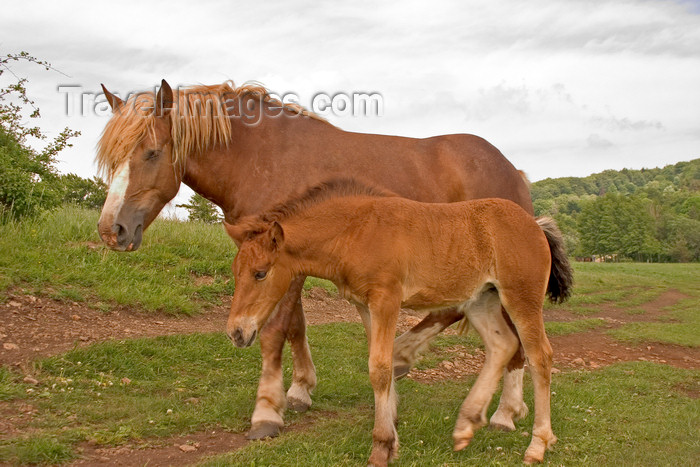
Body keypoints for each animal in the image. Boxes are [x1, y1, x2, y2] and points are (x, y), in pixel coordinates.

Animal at [97, 80, 536, 442]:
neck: (259, 160)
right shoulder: (286, 263)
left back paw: (504, 412)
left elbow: (274, 331)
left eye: (152, 153)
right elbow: (295, 325)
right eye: (113, 158)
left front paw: (266, 413)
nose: (111, 229)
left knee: (515, 338)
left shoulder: (283, 263)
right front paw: (299, 391)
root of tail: (513, 170)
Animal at [226, 178, 576, 464]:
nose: (236, 332)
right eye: (235, 271)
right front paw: (392, 435)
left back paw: (537, 444)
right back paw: (467, 423)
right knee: (502, 345)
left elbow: (380, 368)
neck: (355, 231)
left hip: (521, 299)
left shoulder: (386, 299)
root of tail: (535, 224)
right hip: (481, 300)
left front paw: (381, 447)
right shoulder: (365, 305)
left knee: (540, 356)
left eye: (261, 273)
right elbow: (384, 363)